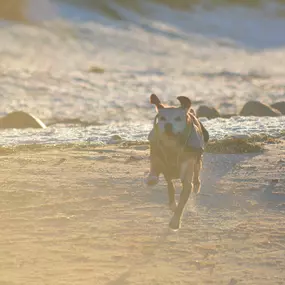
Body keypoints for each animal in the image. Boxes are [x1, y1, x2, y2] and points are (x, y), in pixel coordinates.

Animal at [144, 94, 209, 230]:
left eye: (178, 118)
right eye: (162, 118)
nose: (168, 125)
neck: (171, 147)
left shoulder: (187, 173)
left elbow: (182, 201)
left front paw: (175, 221)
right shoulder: (157, 155)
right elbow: (157, 171)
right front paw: (152, 178)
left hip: (198, 158)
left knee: (197, 170)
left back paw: (197, 184)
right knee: (169, 183)